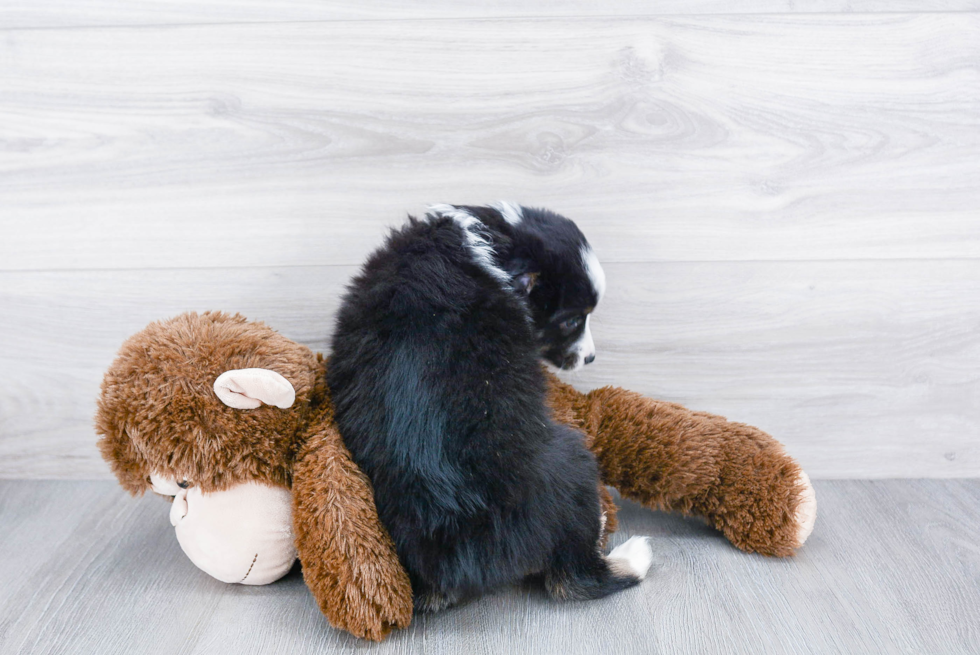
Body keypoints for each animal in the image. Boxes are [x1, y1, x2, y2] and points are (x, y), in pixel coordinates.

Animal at [328, 202, 652, 612]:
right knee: (573, 580)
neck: (497, 241)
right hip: (572, 461)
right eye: (572, 321)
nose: (590, 358)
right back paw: (629, 551)